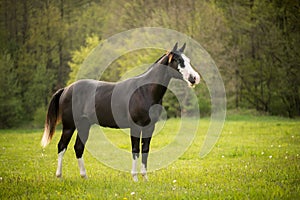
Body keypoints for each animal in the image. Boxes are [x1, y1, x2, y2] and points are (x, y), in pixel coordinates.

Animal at [39, 42, 199, 181]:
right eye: (178, 60)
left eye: (188, 60)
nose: (194, 78)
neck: (144, 91)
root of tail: (66, 89)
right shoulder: (135, 127)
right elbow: (135, 149)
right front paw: (135, 178)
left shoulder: (149, 127)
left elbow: (145, 149)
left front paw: (145, 178)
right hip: (69, 126)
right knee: (62, 146)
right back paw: (59, 176)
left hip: (84, 125)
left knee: (78, 147)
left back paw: (84, 177)